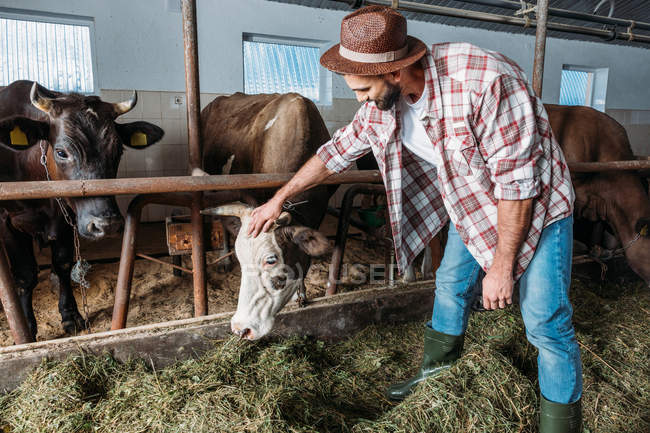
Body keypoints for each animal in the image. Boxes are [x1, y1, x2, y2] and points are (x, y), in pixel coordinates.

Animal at [0, 80, 162, 338]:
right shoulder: (7, 220)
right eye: (61, 152)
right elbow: (25, 276)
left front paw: (70, 314)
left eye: (118, 151)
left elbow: (63, 265)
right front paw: (27, 327)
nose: (107, 224)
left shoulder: (66, 218)